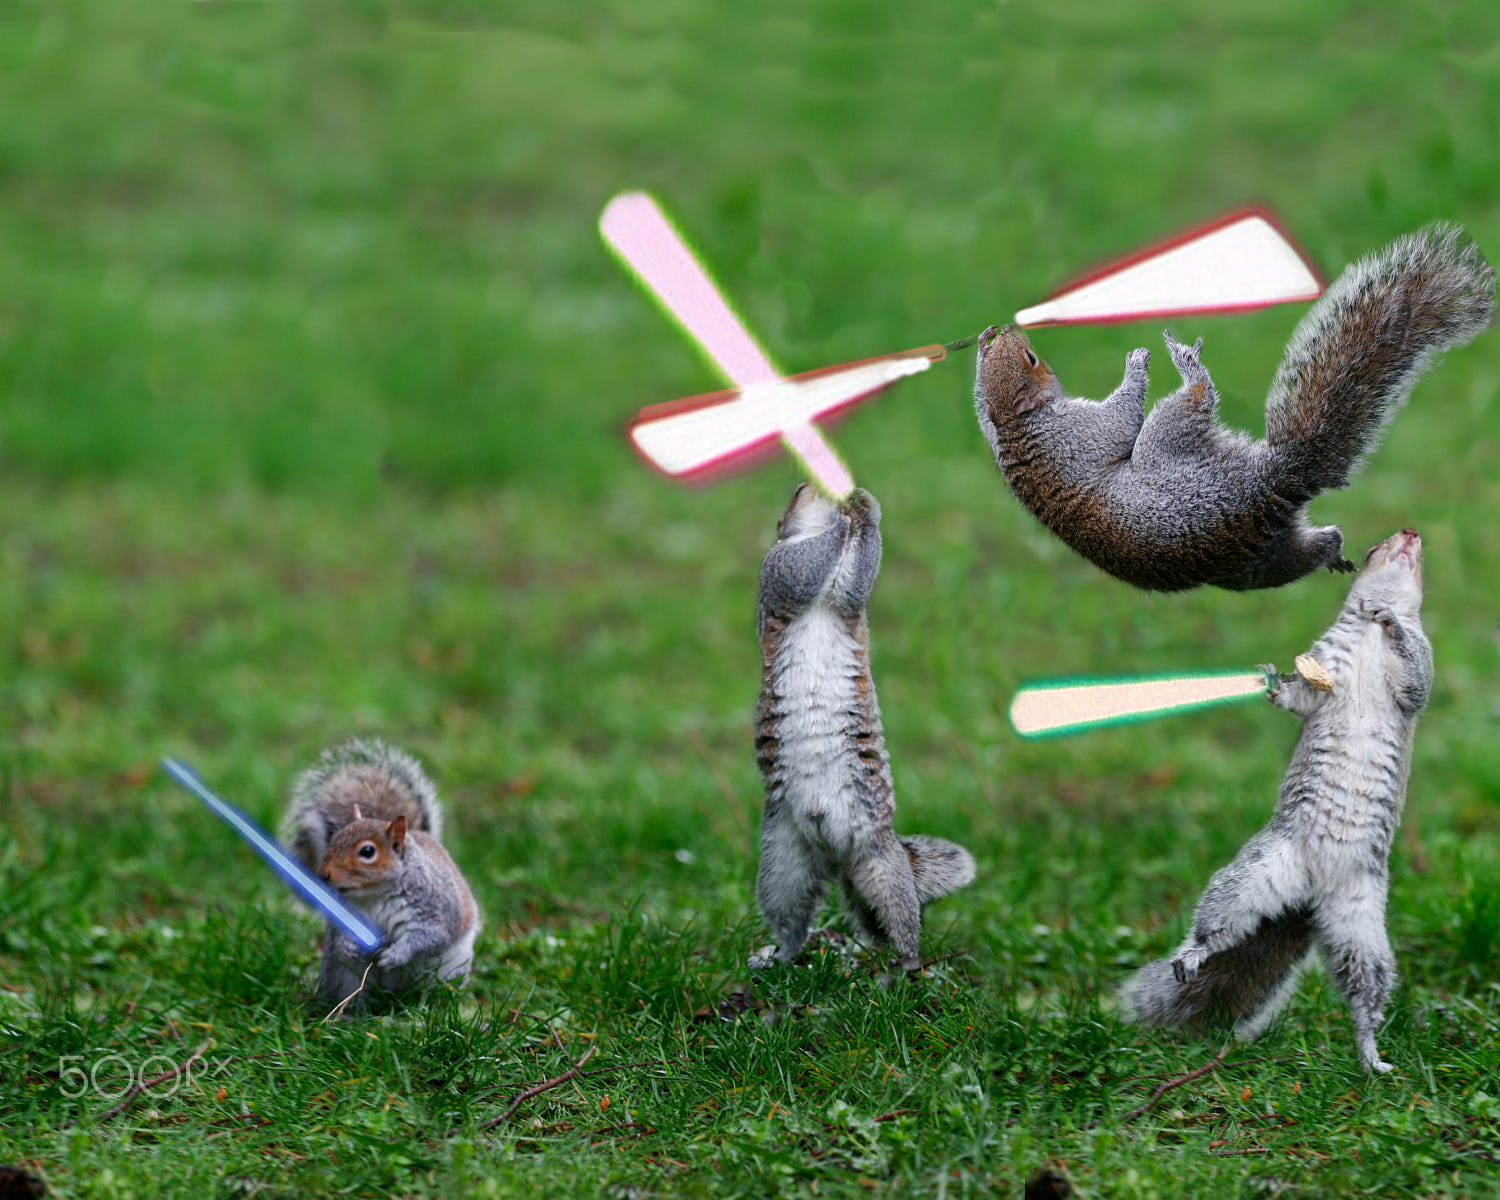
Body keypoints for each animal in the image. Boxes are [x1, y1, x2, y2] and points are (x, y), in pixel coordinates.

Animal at [281, 738, 480, 1003]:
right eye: (333, 839)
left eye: (367, 851)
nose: (322, 874)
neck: (375, 895)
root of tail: (393, 993)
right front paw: (349, 944)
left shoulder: (438, 908)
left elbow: (432, 936)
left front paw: (397, 954)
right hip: (344, 975)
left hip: (447, 970)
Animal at [754, 483, 975, 971]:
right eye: (798, 490)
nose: (822, 487)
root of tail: (834, 856)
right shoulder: (778, 568)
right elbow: (801, 571)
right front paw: (844, 517)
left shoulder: (847, 602)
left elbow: (855, 586)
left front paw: (863, 507)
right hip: (783, 864)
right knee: (792, 916)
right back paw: (782, 955)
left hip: (878, 864)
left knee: (895, 920)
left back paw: (903, 962)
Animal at [973, 223, 1495, 591]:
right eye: (1031, 360)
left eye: (1015, 352)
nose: (1002, 330)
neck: (1017, 422)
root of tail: (1269, 486)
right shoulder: (1077, 433)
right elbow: (1119, 423)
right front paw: (1135, 366)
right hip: (1171, 443)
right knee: (1195, 400)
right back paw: (1188, 365)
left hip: (1268, 564)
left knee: (1313, 547)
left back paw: (1334, 552)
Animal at [1119, 529, 1432, 1072]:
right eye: (1376, 548)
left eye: (1419, 562)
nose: (1411, 534)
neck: (1370, 638)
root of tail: (1310, 894)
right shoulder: (1326, 660)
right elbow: (1301, 699)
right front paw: (1269, 679)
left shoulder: (1416, 672)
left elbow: (1416, 683)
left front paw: (1393, 621)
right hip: (1258, 874)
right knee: (1218, 922)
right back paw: (1193, 952)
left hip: (1360, 924)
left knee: (1364, 989)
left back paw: (1371, 1053)